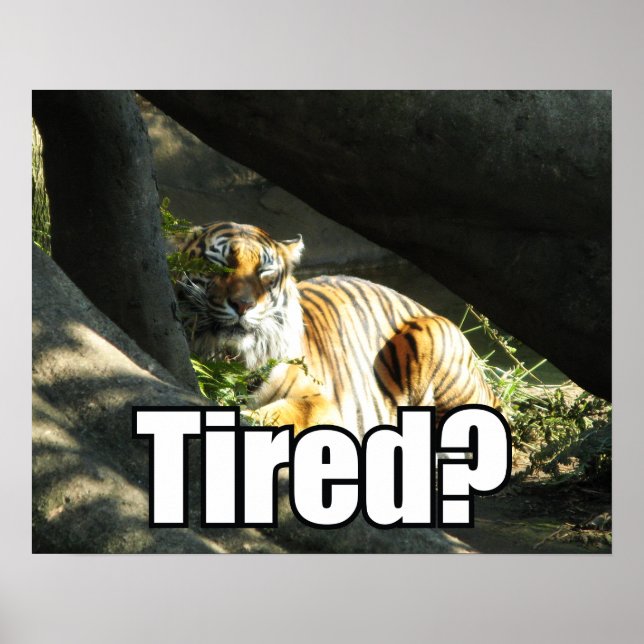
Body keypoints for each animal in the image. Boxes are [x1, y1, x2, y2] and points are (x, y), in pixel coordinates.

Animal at [175, 221, 503, 437]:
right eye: (218, 266)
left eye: (264, 271)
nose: (243, 305)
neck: (231, 359)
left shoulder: (319, 400)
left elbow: (282, 413)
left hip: (432, 338)